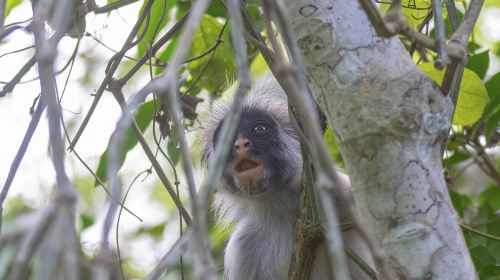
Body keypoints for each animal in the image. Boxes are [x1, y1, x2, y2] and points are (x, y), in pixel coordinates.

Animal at [201, 77, 374, 280]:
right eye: (227, 137)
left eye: (259, 128)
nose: (240, 144)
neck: (282, 207)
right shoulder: (242, 249)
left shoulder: (342, 195)